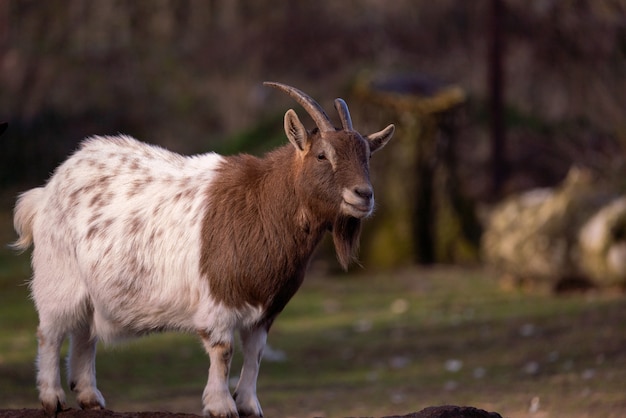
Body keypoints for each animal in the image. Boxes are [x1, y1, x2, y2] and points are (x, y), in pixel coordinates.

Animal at [13, 80, 390, 416]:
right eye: (322, 155)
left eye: (367, 157)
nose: (363, 195)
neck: (264, 204)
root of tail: (48, 190)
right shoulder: (219, 299)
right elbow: (223, 351)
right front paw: (221, 406)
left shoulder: (267, 307)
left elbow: (255, 353)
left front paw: (249, 405)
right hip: (59, 277)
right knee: (50, 332)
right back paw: (52, 399)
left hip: (92, 289)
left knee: (84, 333)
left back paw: (90, 397)